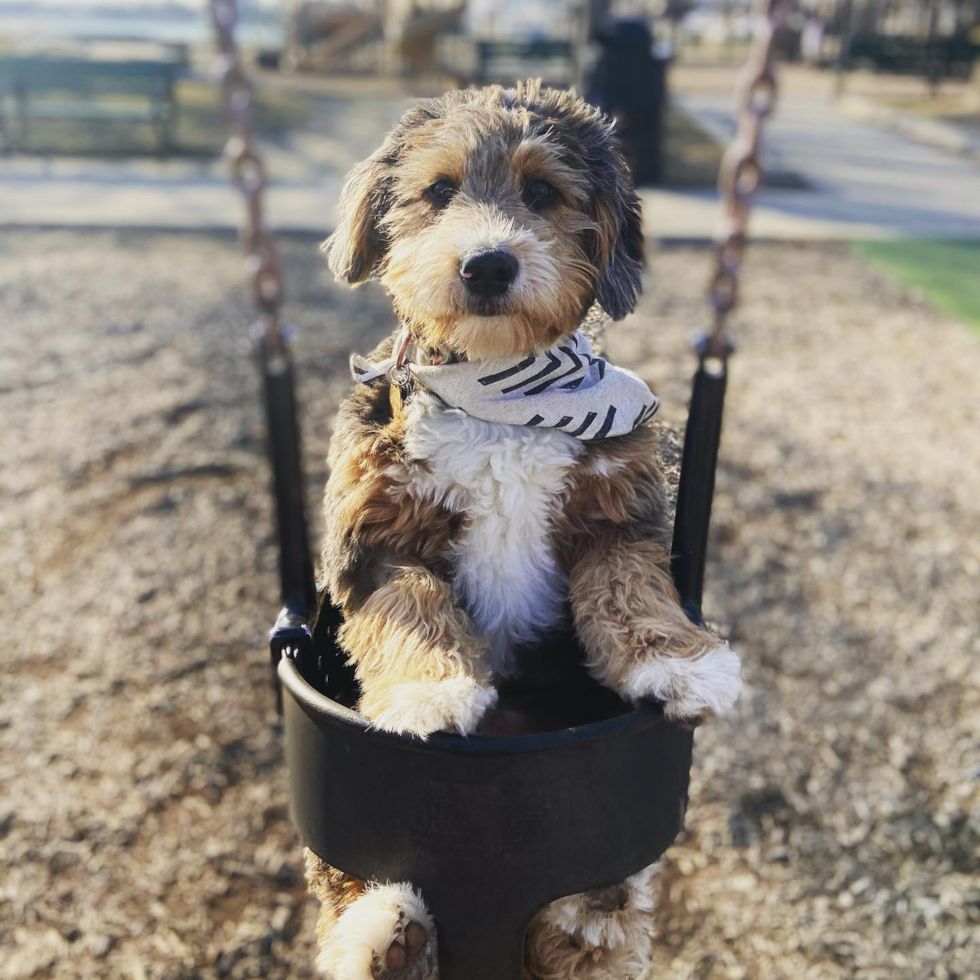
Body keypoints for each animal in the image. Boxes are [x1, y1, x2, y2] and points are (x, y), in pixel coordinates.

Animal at [302, 80, 740, 976]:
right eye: (438, 192)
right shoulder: (373, 539)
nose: (488, 264)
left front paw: (680, 664)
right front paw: (430, 691)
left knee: (599, 904)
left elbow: (630, 590)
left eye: (542, 192)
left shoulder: (619, 514)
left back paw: (582, 928)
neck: (497, 385)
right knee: (347, 884)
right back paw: (387, 934)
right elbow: (412, 604)